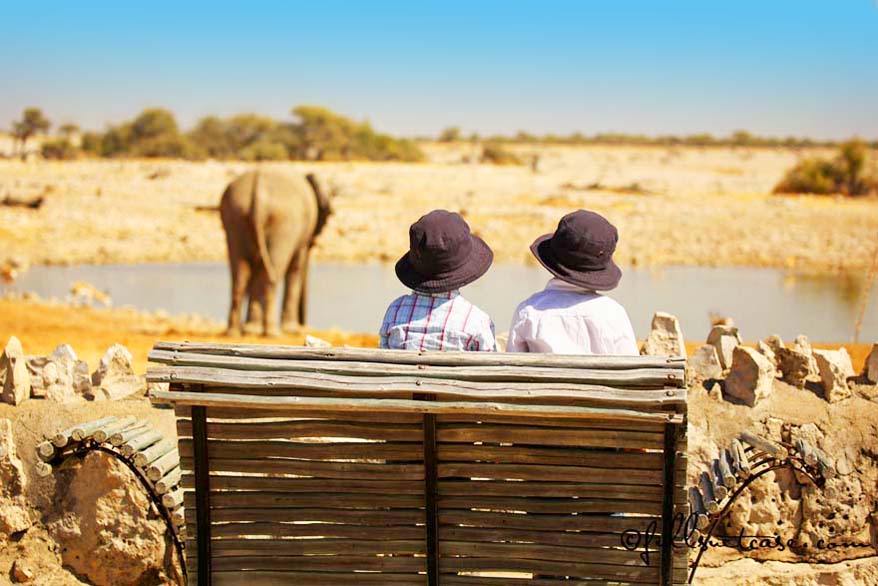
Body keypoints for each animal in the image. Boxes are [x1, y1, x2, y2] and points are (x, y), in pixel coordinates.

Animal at [220, 167, 334, 336]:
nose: (304, 326)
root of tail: (258, 192)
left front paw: (250, 329)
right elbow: (296, 269)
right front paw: (291, 329)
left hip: (235, 216)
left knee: (240, 276)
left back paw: (236, 332)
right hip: (283, 222)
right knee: (271, 276)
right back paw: (272, 332)